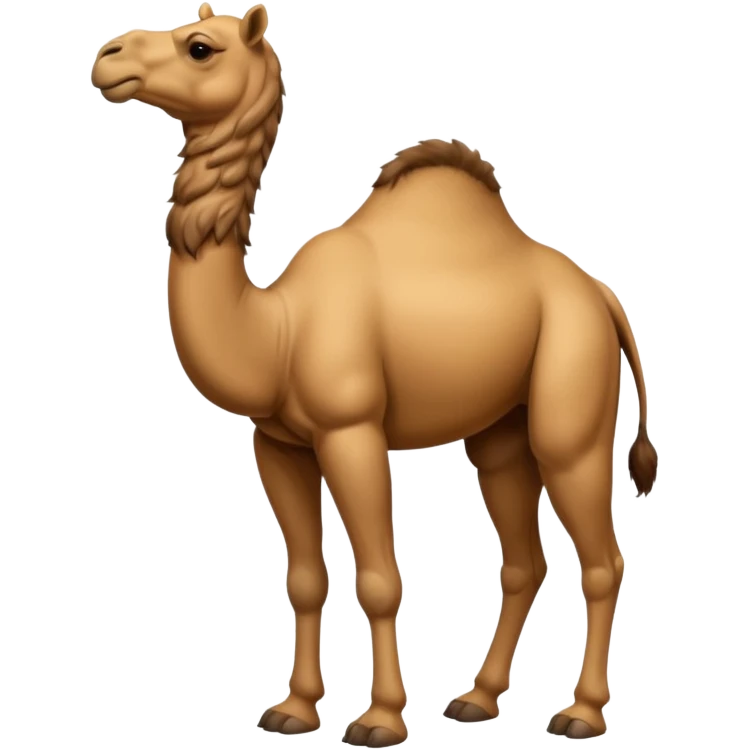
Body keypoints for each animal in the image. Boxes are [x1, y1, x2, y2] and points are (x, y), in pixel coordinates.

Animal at [91, 4, 659, 745]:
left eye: (200, 47)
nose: (108, 58)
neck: (277, 327)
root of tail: (602, 296)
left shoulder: (351, 430)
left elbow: (381, 579)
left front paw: (380, 720)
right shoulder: (277, 444)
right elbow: (304, 578)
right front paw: (294, 709)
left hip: (572, 395)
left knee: (601, 555)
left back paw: (582, 714)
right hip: (500, 431)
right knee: (521, 556)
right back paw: (476, 699)